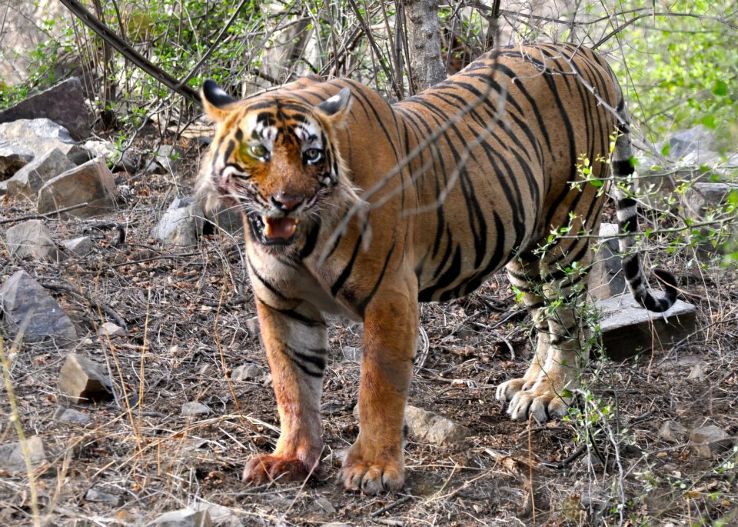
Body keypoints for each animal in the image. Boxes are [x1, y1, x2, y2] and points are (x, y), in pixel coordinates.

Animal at [196, 42, 677, 494]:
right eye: (259, 152)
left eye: (312, 155)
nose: (287, 201)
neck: (302, 239)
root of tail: (585, 52)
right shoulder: (282, 303)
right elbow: (291, 385)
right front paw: (290, 458)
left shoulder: (389, 295)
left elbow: (377, 387)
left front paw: (374, 468)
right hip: (525, 251)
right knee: (545, 320)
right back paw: (524, 385)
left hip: (568, 229)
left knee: (569, 321)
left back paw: (548, 392)